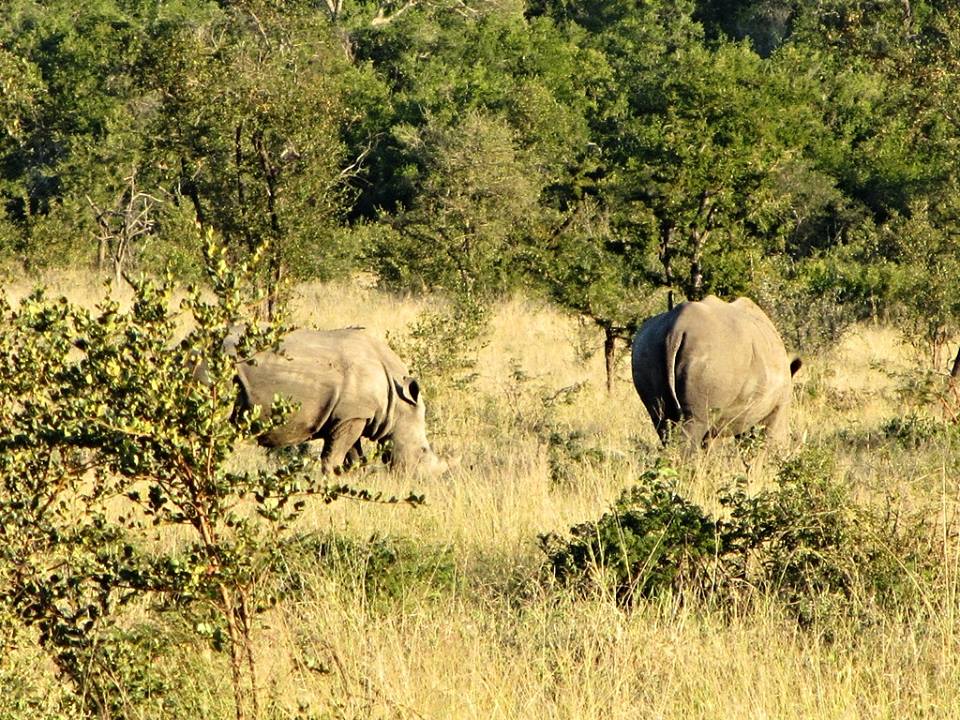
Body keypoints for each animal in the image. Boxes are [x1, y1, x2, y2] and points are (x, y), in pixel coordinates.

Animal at [230, 328, 447, 475]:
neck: (398, 403)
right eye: (423, 451)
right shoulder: (352, 415)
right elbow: (333, 457)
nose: (428, 481)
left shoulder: (352, 416)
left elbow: (354, 458)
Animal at [631, 295, 801, 450]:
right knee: (694, 422)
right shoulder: (779, 405)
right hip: (713, 353)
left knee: (661, 420)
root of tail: (676, 329)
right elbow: (772, 441)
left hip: (647, 344)